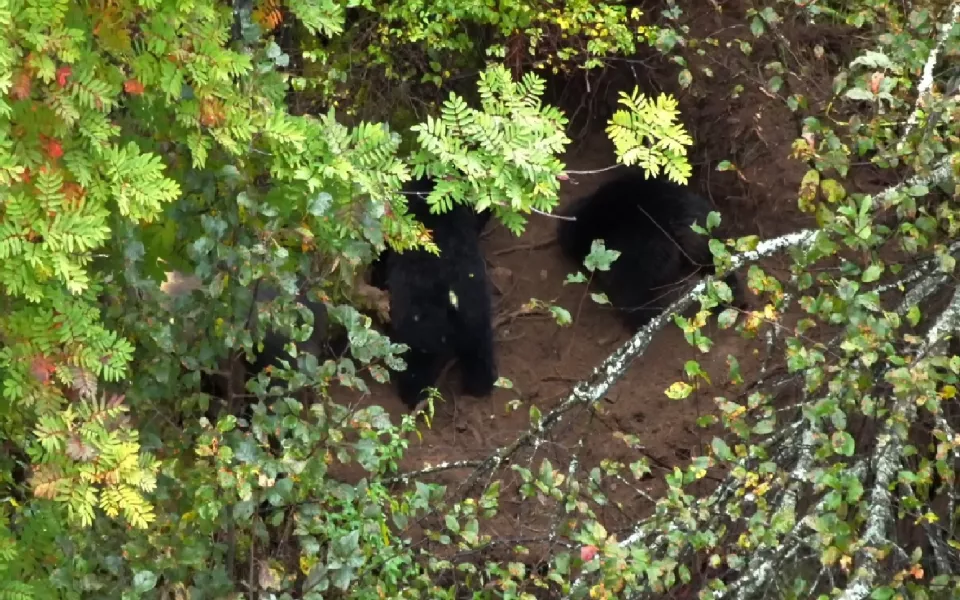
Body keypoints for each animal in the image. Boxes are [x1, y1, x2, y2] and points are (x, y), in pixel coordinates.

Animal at [372, 178, 498, 410]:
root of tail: (451, 295)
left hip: (420, 325)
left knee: (417, 363)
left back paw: (412, 396)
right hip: (475, 310)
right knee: (479, 347)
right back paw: (480, 384)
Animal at [556, 168, 744, 328]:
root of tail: (671, 220)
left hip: (634, 263)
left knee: (632, 298)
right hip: (707, 238)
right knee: (720, 269)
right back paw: (732, 302)